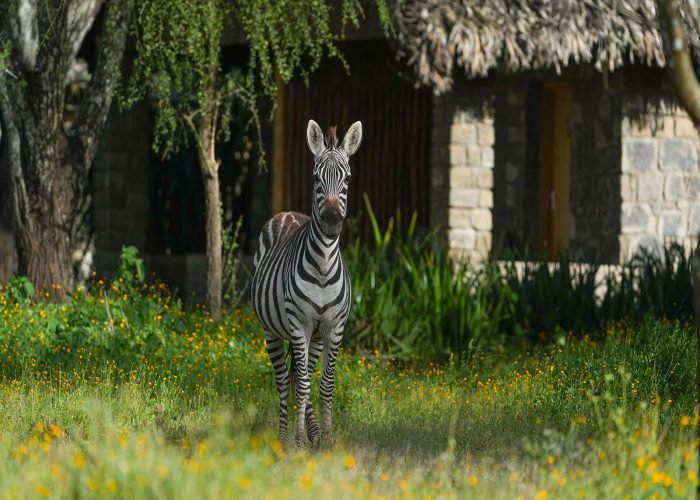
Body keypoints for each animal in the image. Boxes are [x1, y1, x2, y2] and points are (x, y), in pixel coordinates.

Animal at [250, 119, 360, 448]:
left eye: (348, 178)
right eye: (315, 177)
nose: (332, 220)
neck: (323, 267)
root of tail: (287, 212)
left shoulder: (333, 329)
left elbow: (325, 384)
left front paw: (327, 437)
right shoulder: (299, 325)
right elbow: (299, 384)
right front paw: (297, 440)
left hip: (316, 336)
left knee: (304, 375)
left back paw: (312, 433)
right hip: (272, 330)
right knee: (284, 380)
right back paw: (284, 436)